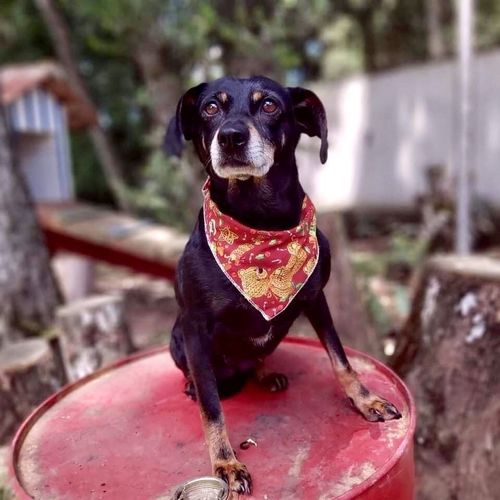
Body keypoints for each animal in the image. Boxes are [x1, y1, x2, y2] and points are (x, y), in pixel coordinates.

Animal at [166, 76, 400, 494]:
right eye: (211, 107)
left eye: (270, 105)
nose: (231, 137)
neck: (259, 223)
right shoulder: (194, 324)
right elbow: (211, 407)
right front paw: (226, 463)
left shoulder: (316, 298)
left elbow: (341, 360)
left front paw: (366, 400)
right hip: (177, 338)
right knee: (198, 375)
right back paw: (195, 383)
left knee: (258, 359)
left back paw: (264, 373)